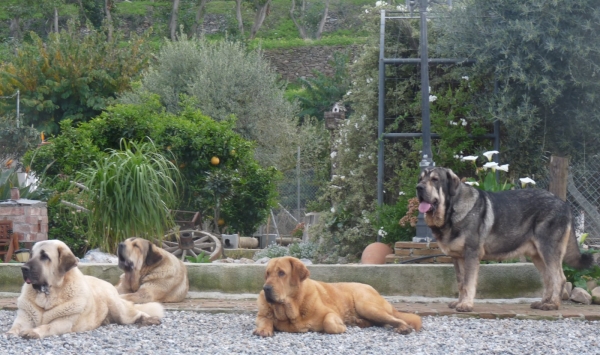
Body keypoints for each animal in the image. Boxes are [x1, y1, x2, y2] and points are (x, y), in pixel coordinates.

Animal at [5, 241, 164, 340]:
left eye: (44, 256)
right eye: (31, 255)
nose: (23, 268)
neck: (47, 294)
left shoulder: (63, 322)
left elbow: (47, 326)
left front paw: (33, 332)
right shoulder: (24, 317)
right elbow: (16, 326)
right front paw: (10, 333)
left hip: (118, 308)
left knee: (136, 313)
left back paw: (149, 319)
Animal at [253, 258, 422, 338]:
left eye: (281, 273)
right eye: (267, 274)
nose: (266, 288)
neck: (293, 307)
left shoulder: (330, 313)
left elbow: (328, 323)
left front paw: (340, 326)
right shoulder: (263, 314)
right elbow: (266, 320)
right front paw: (263, 329)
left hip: (366, 305)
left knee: (395, 319)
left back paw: (403, 327)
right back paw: (360, 322)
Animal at [414, 167, 592, 312]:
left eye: (435, 180)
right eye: (420, 179)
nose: (418, 187)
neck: (452, 210)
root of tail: (565, 204)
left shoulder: (471, 254)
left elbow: (469, 282)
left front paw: (466, 305)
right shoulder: (457, 258)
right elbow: (461, 283)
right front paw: (459, 302)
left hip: (549, 250)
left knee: (559, 278)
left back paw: (552, 305)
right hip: (537, 255)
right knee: (549, 278)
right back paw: (543, 302)